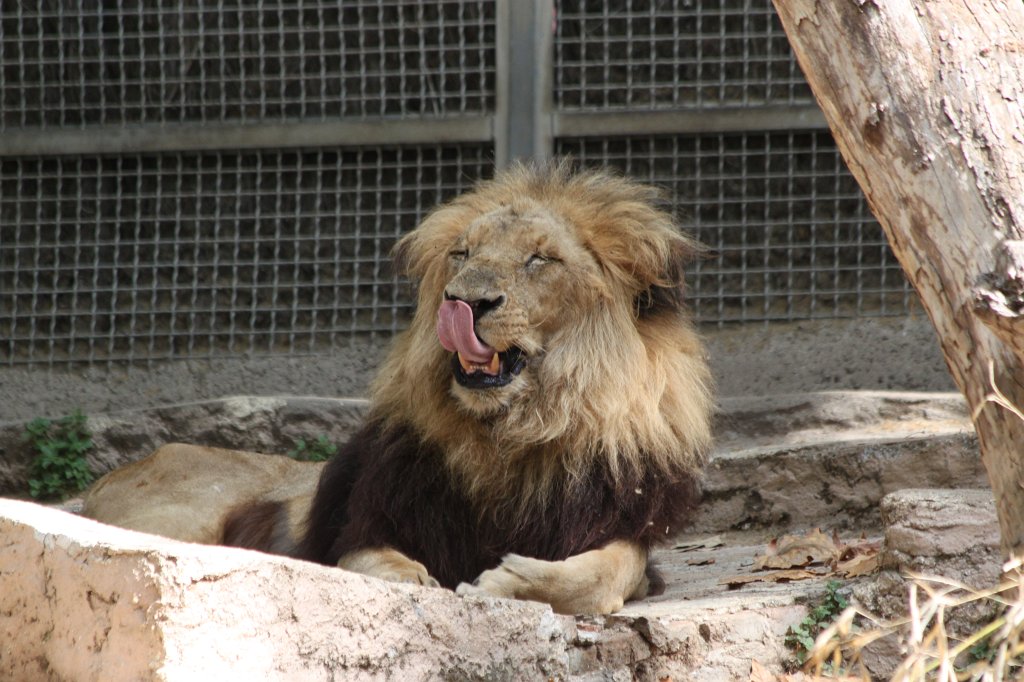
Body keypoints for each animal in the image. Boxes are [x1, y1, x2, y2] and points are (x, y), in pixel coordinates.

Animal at [82, 161, 713, 615]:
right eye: (462, 253)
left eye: (540, 259)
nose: (464, 301)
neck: (508, 437)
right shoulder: (360, 527)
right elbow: (378, 567)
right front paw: (423, 583)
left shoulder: (621, 527)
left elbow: (604, 575)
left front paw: (504, 582)